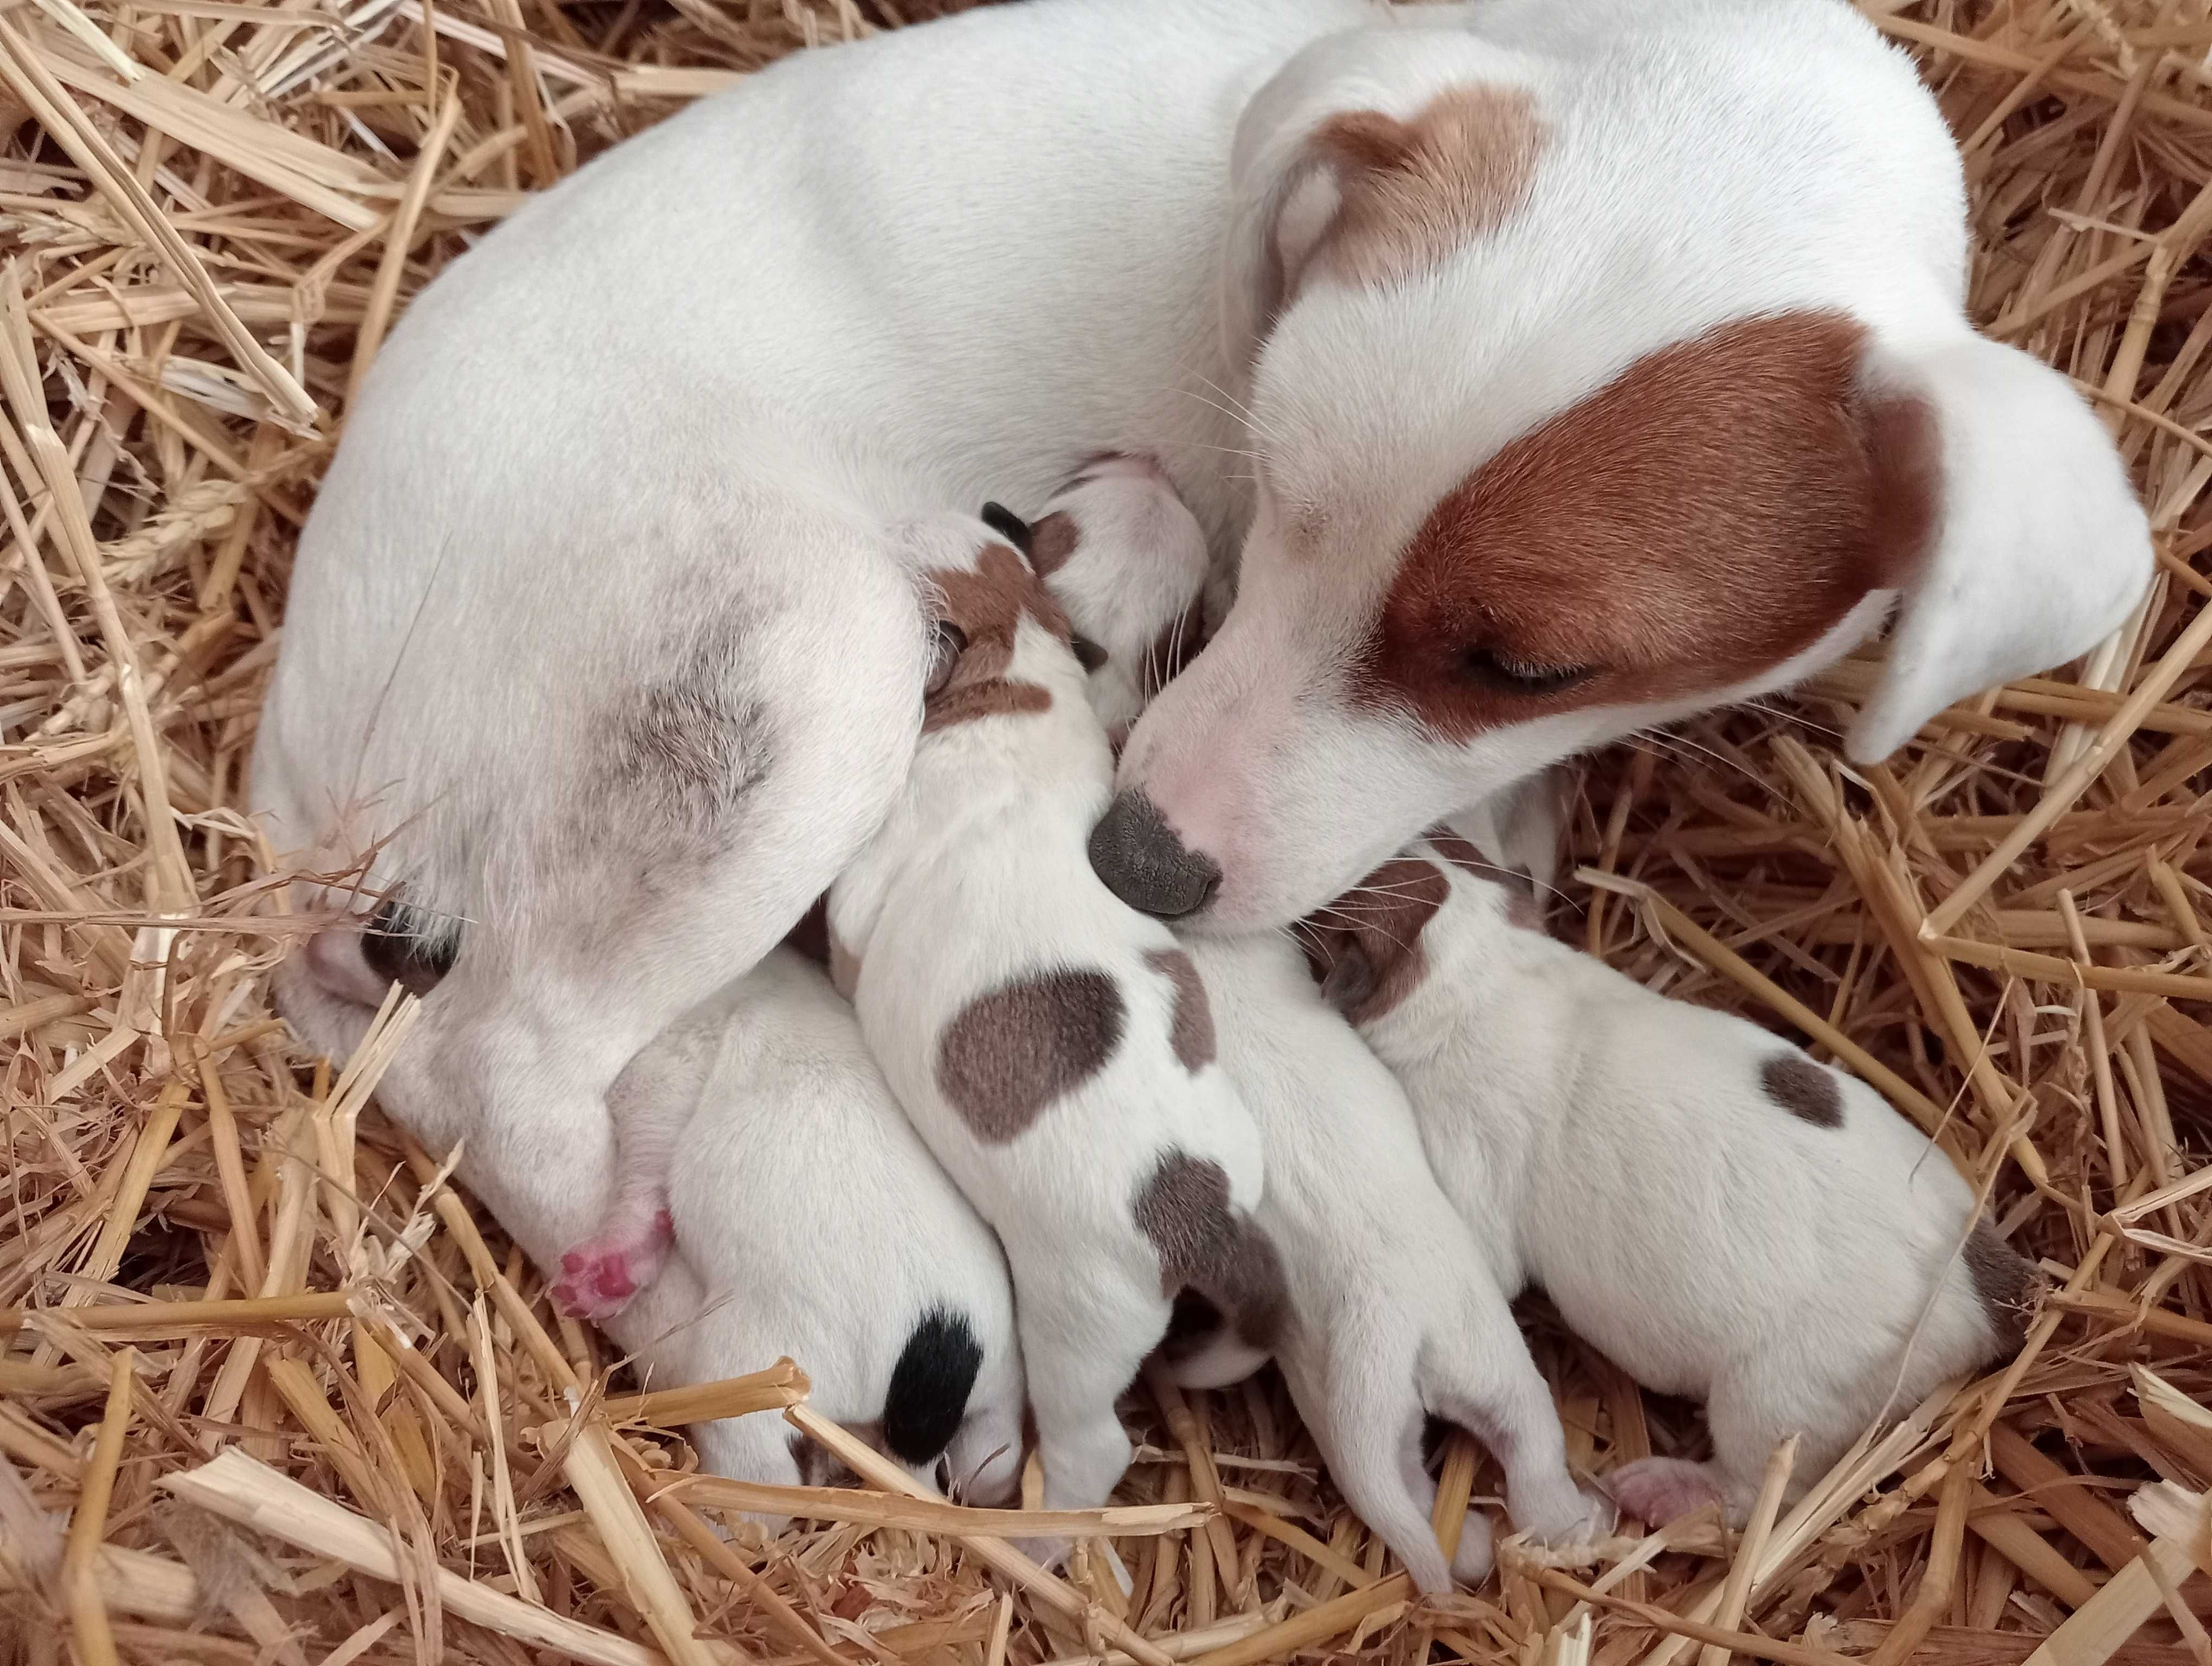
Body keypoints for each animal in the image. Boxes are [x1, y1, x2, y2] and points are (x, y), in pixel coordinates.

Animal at [254, 3, 2141, 1327]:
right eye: (1270, 473)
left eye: (1524, 666)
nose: (1138, 864)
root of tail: (297, 718)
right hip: (789, 674)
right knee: (506, 1065)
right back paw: (620, 1253)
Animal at [597, 947, 1026, 1504]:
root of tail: (935, 1354)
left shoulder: (671, 1061)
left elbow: (644, 1134)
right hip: (998, 1392)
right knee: (993, 1460)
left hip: (756, 1375)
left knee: (762, 1474)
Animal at [1301, 836, 2043, 1531]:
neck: (1485, 963)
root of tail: (1990, 1284)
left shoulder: (1469, 1160)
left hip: (1779, 1396)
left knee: (1762, 1490)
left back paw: (1666, 1489)